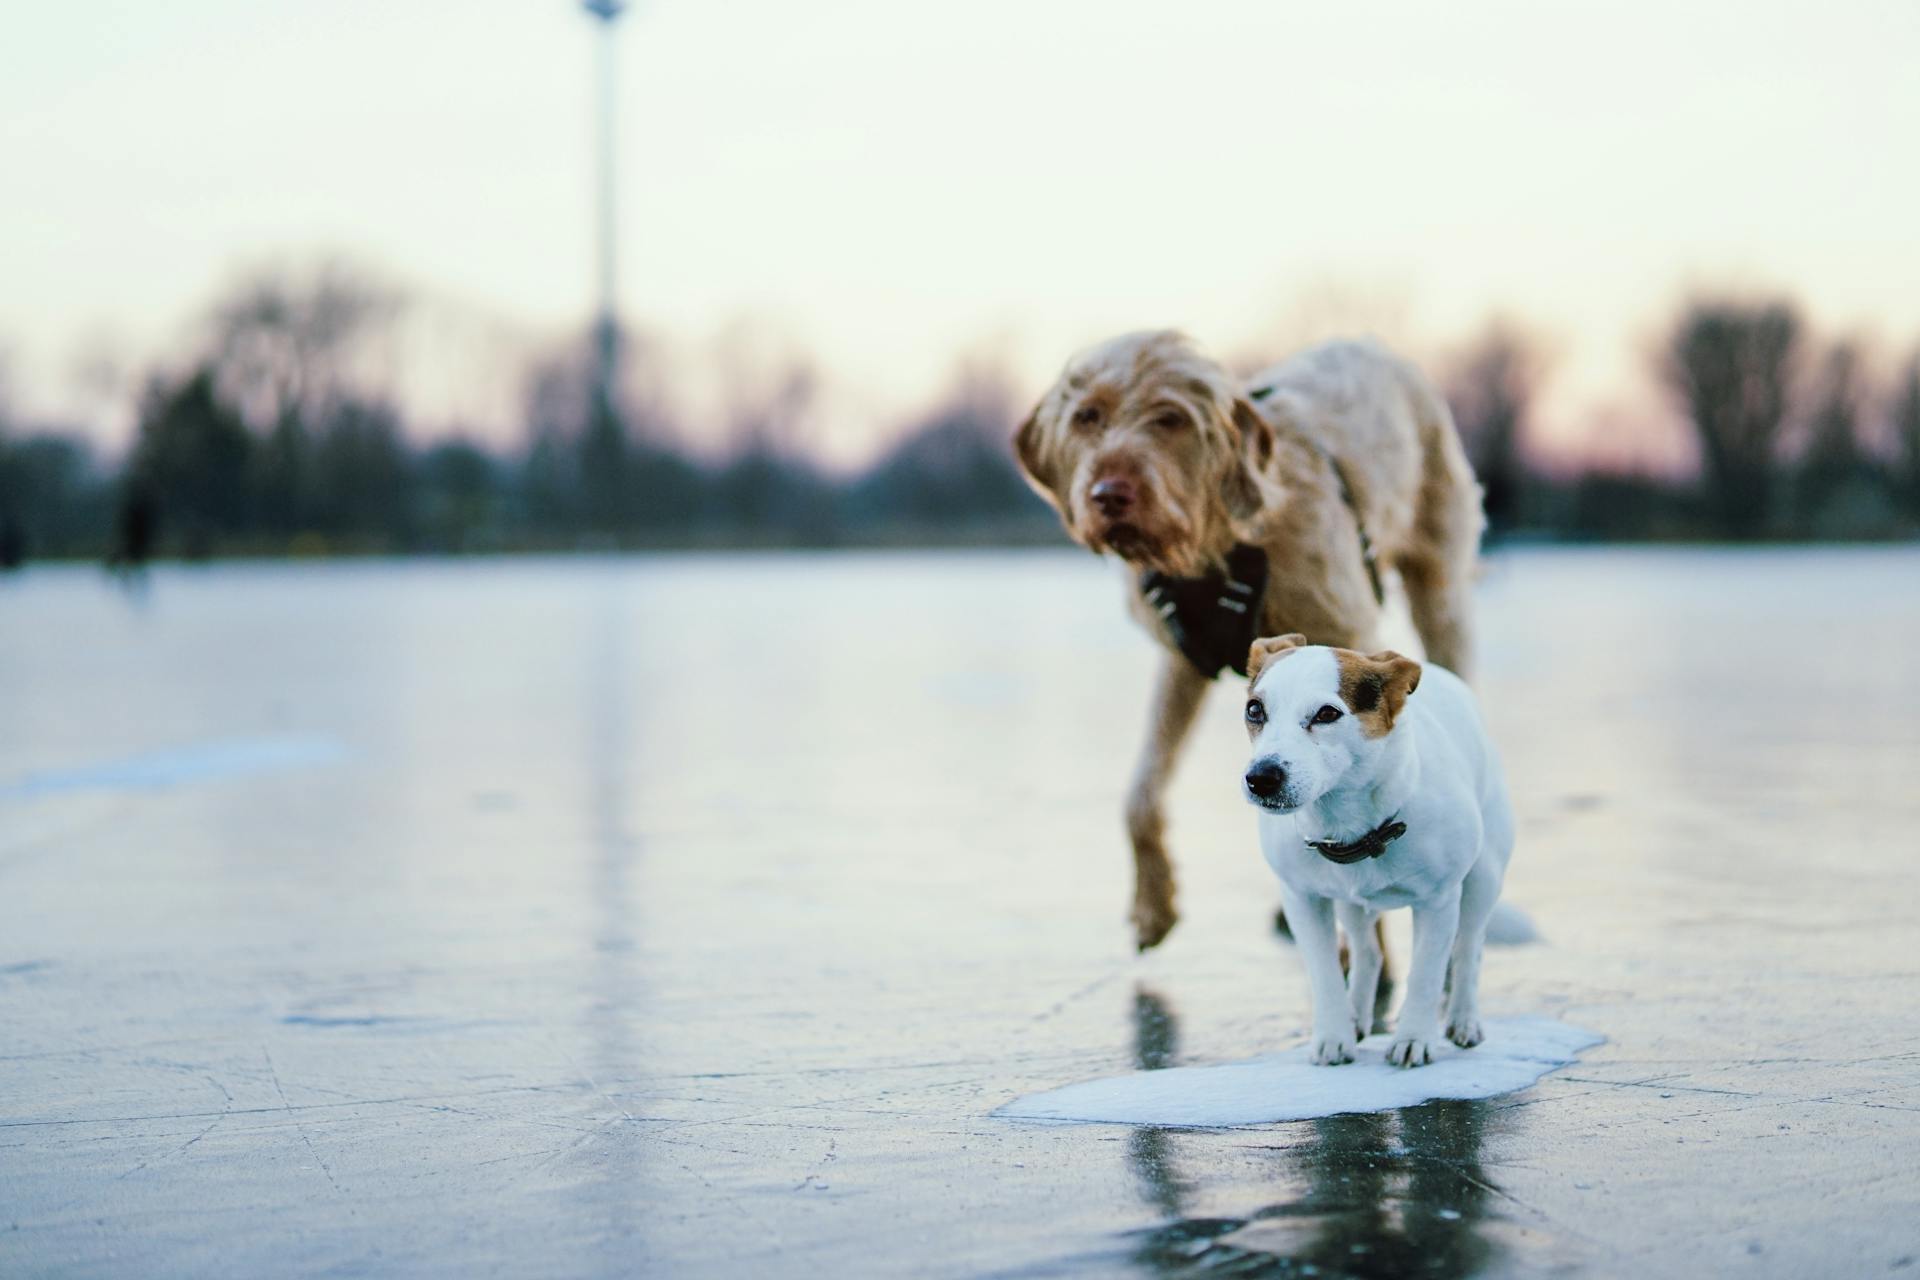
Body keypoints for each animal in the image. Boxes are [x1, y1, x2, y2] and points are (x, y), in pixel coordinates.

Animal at [1021, 330, 1482, 951]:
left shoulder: (1347, 635)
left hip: (1441, 588)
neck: (1221, 541)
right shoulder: (1182, 661)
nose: (1109, 494)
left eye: (1169, 418)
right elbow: (1141, 792)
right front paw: (1152, 904)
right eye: (1087, 416)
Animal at [1244, 633, 1512, 1074]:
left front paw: (1413, 1039)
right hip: (1349, 902)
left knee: (1469, 946)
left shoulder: (1439, 901)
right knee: (1367, 951)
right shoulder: (1303, 899)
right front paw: (1333, 1036)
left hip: (1484, 876)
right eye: (1255, 709)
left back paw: (1463, 1020)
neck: (1357, 827)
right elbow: (1325, 973)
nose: (1261, 777)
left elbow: (1425, 974)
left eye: (1327, 713)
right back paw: (1356, 1016)